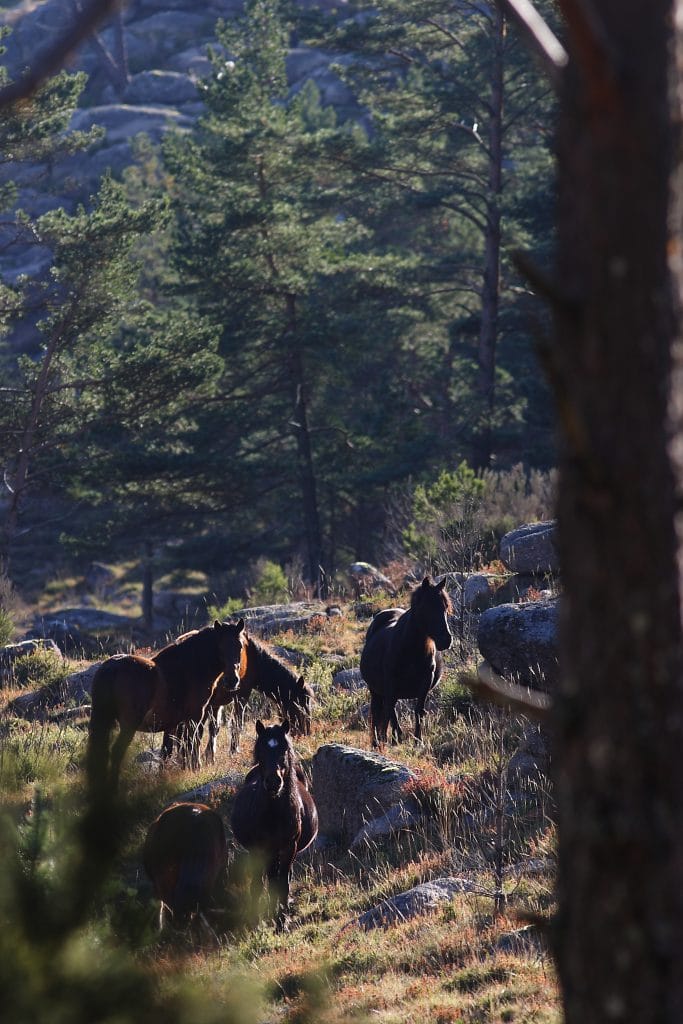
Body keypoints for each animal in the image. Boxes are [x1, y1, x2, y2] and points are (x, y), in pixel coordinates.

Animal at [84, 614, 245, 790]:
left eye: (240, 647)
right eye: (220, 647)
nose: (232, 681)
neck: (189, 668)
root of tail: (111, 668)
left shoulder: (173, 723)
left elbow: (168, 751)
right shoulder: (195, 716)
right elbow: (191, 743)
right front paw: (193, 769)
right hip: (129, 724)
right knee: (117, 751)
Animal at [228, 720, 317, 929]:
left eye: (284, 749)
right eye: (260, 750)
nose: (273, 782)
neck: (274, 813)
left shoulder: (289, 847)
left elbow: (282, 884)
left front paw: (281, 922)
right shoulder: (260, 849)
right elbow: (262, 884)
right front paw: (260, 922)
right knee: (265, 879)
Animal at [358, 577, 454, 745]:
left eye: (445, 607)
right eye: (427, 607)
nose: (446, 640)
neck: (410, 649)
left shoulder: (425, 682)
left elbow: (418, 711)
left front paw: (418, 741)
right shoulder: (390, 684)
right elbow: (391, 711)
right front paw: (398, 738)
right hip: (375, 690)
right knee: (378, 712)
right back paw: (378, 742)